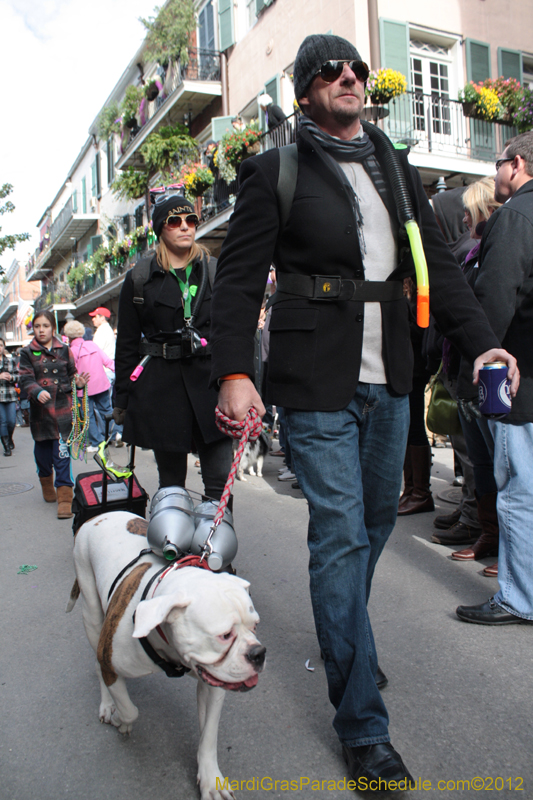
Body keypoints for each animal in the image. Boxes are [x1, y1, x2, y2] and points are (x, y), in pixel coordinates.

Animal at [68, 512, 264, 800]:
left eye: (255, 626)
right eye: (225, 635)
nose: (258, 653)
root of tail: (100, 516)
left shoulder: (213, 685)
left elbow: (209, 735)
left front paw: (210, 779)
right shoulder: (109, 657)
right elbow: (130, 710)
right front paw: (120, 720)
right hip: (92, 615)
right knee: (97, 663)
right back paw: (107, 704)